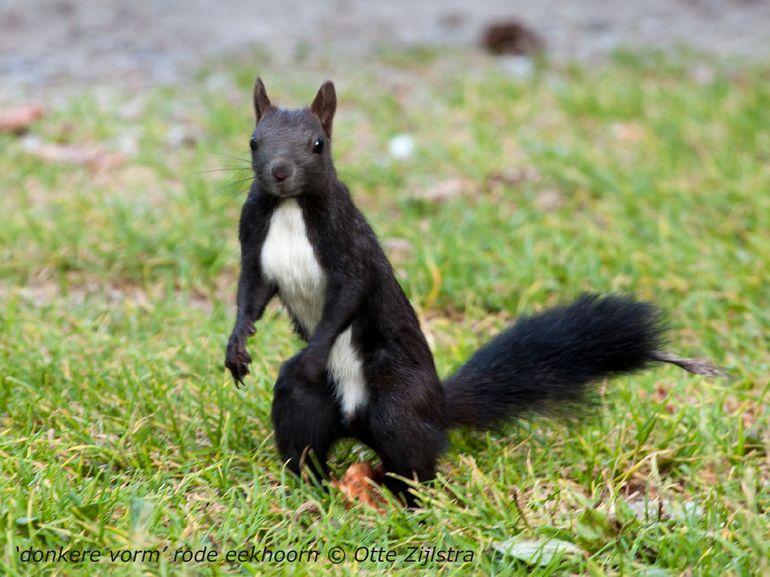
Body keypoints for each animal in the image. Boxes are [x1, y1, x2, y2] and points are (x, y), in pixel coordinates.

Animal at [224, 77, 720, 504]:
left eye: (318, 144)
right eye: (252, 141)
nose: (279, 172)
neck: (290, 208)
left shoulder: (350, 250)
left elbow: (346, 299)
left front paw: (311, 352)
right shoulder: (254, 244)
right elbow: (251, 293)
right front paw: (236, 346)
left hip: (398, 403)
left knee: (412, 457)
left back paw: (408, 500)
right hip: (308, 402)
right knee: (305, 431)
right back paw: (308, 485)